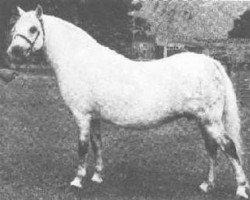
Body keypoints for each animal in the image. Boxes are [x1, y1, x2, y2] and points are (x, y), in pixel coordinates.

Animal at [7, 5, 248, 199]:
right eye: (14, 28)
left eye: (33, 29)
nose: (13, 52)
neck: (80, 61)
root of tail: (211, 62)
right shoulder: (94, 117)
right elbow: (97, 144)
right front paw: (97, 176)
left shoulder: (82, 116)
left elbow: (82, 147)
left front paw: (77, 180)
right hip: (203, 122)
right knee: (212, 150)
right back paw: (207, 185)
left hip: (210, 121)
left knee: (229, 147)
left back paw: (241, 189)